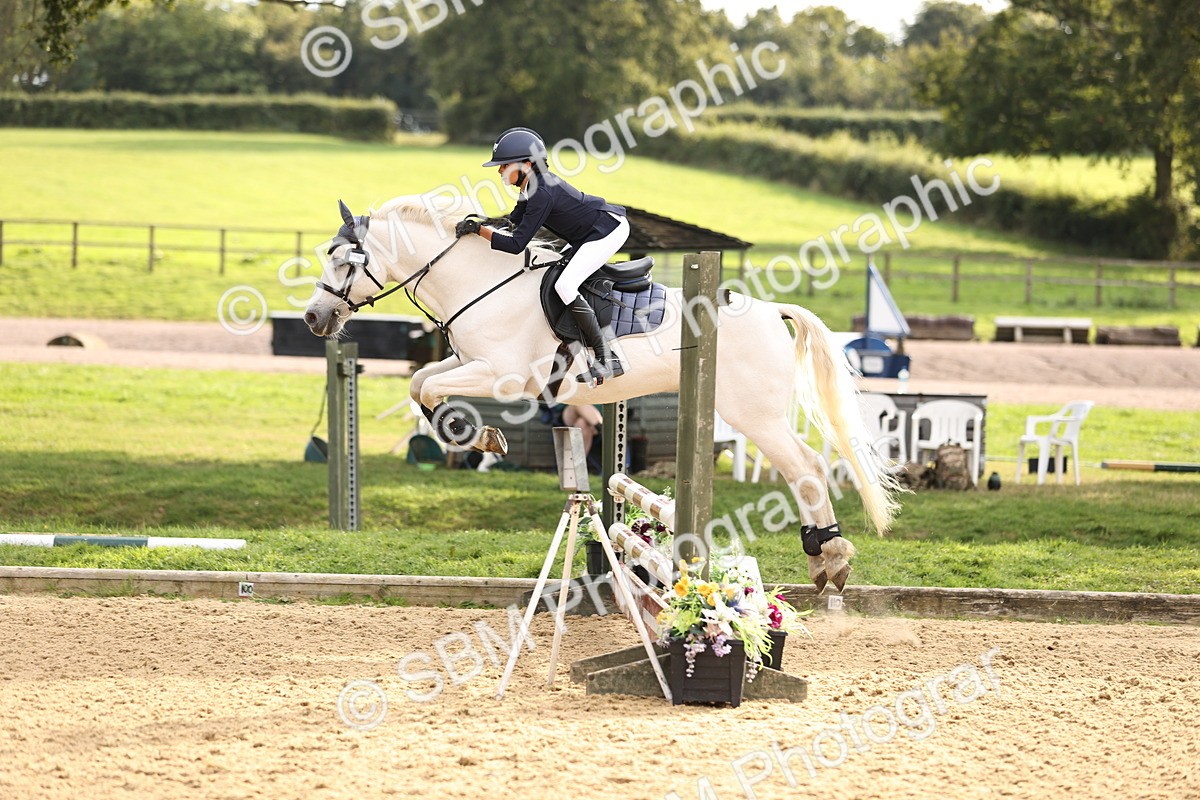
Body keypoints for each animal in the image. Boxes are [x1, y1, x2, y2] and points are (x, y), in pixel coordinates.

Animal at [303, 194, 901, 591]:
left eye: (344, 260)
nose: (313, 318)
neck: (480, 283)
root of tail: (771, 310)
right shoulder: (468, 361)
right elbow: (420, 382)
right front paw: (481, 436)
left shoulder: (502, 374)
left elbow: (431, 389)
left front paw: (475, 434)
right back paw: (823, 556)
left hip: (755, 415)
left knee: (806, 468)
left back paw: (828, 556)